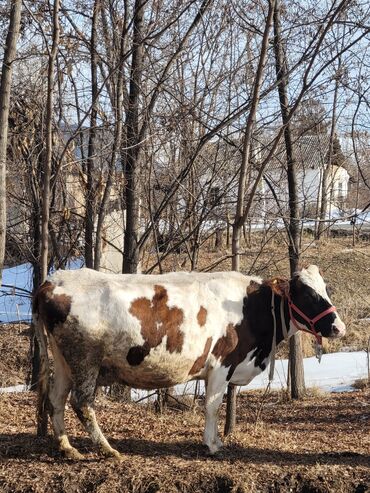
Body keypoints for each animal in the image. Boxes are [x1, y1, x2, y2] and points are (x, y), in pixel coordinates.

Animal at [32, 264, 346, 460]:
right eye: (307, 294)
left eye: (325, 289)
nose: (338, 327)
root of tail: (53, 280)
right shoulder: (221, 366)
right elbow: (212, 406)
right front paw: (213, 444)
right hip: (85, 360)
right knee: (81, 404)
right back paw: (107, 450)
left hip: (64, 362)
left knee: (56, 400)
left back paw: (67, 448)